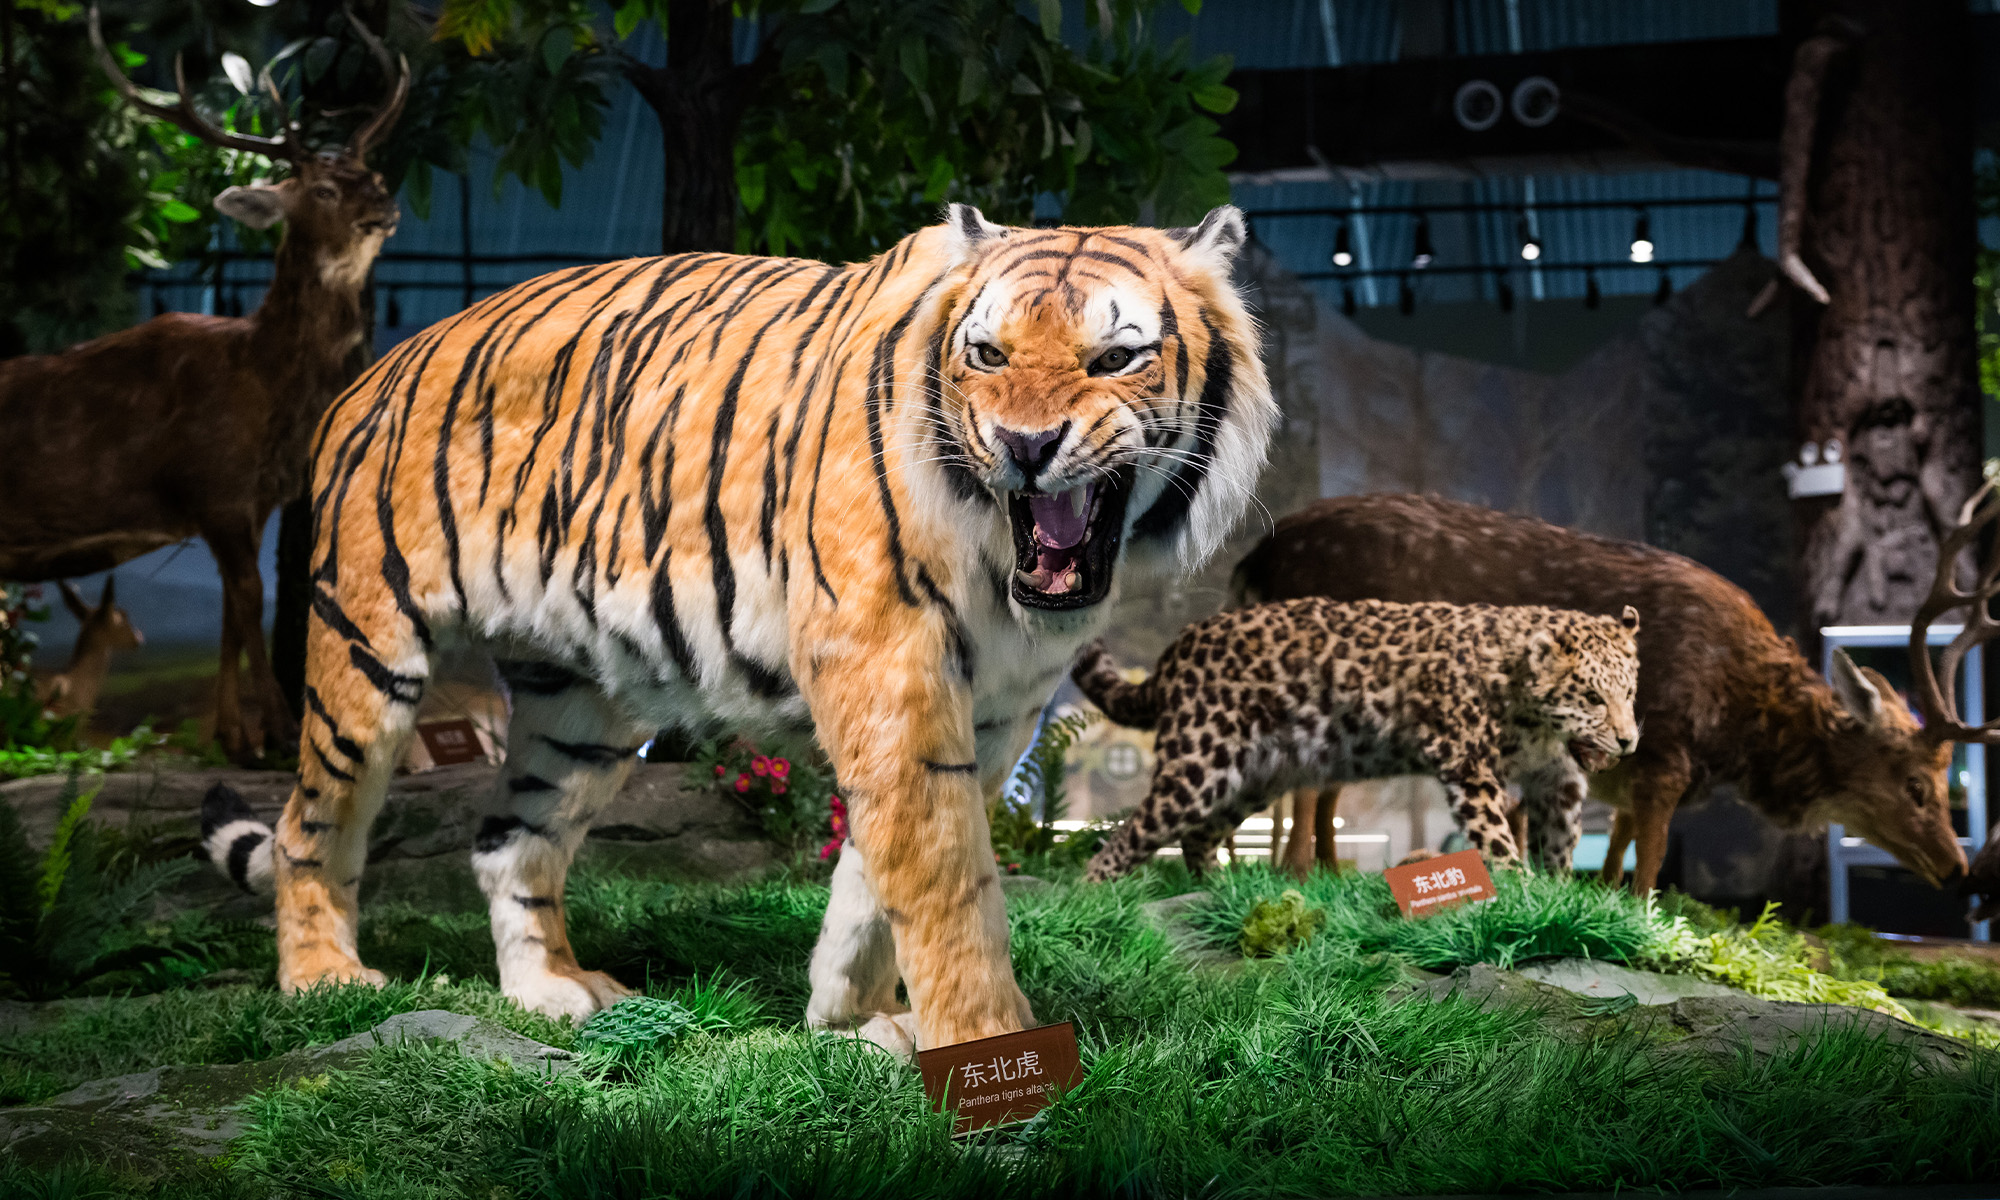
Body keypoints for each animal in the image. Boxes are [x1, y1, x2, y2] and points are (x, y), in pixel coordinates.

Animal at [205, 204, 1276, 1055]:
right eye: (989, 355)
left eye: (1116, 357)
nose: (1024, 445)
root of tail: (374, 370)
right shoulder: (887, 665)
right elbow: (945, 880)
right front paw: (990, 1047)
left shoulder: (997, 707)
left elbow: (874, 879)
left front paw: (851, 1019)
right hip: (365, 646)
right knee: (308, 824)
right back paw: (323, 980)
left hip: (578, 704)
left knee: (511, 842)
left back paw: (557, 991)